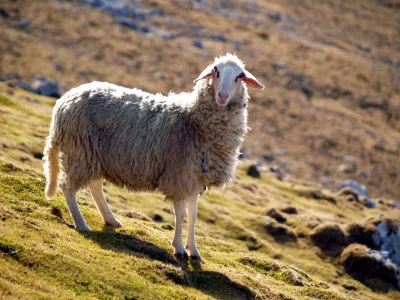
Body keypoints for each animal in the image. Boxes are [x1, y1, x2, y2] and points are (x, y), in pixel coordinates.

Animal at [43, 53, 264, 258]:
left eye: (240, 76)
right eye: (216, 71)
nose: (223, 96)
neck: (193, 121)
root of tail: (63, 101)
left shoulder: (195, 179)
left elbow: (193, 215)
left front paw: (194, 250)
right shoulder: (178, 176)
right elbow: (180, 213)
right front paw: (179, 249)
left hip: (95, 156)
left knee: (95, 186)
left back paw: (111, 220)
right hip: (80, 151)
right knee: (68, 188)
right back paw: (82, 224)